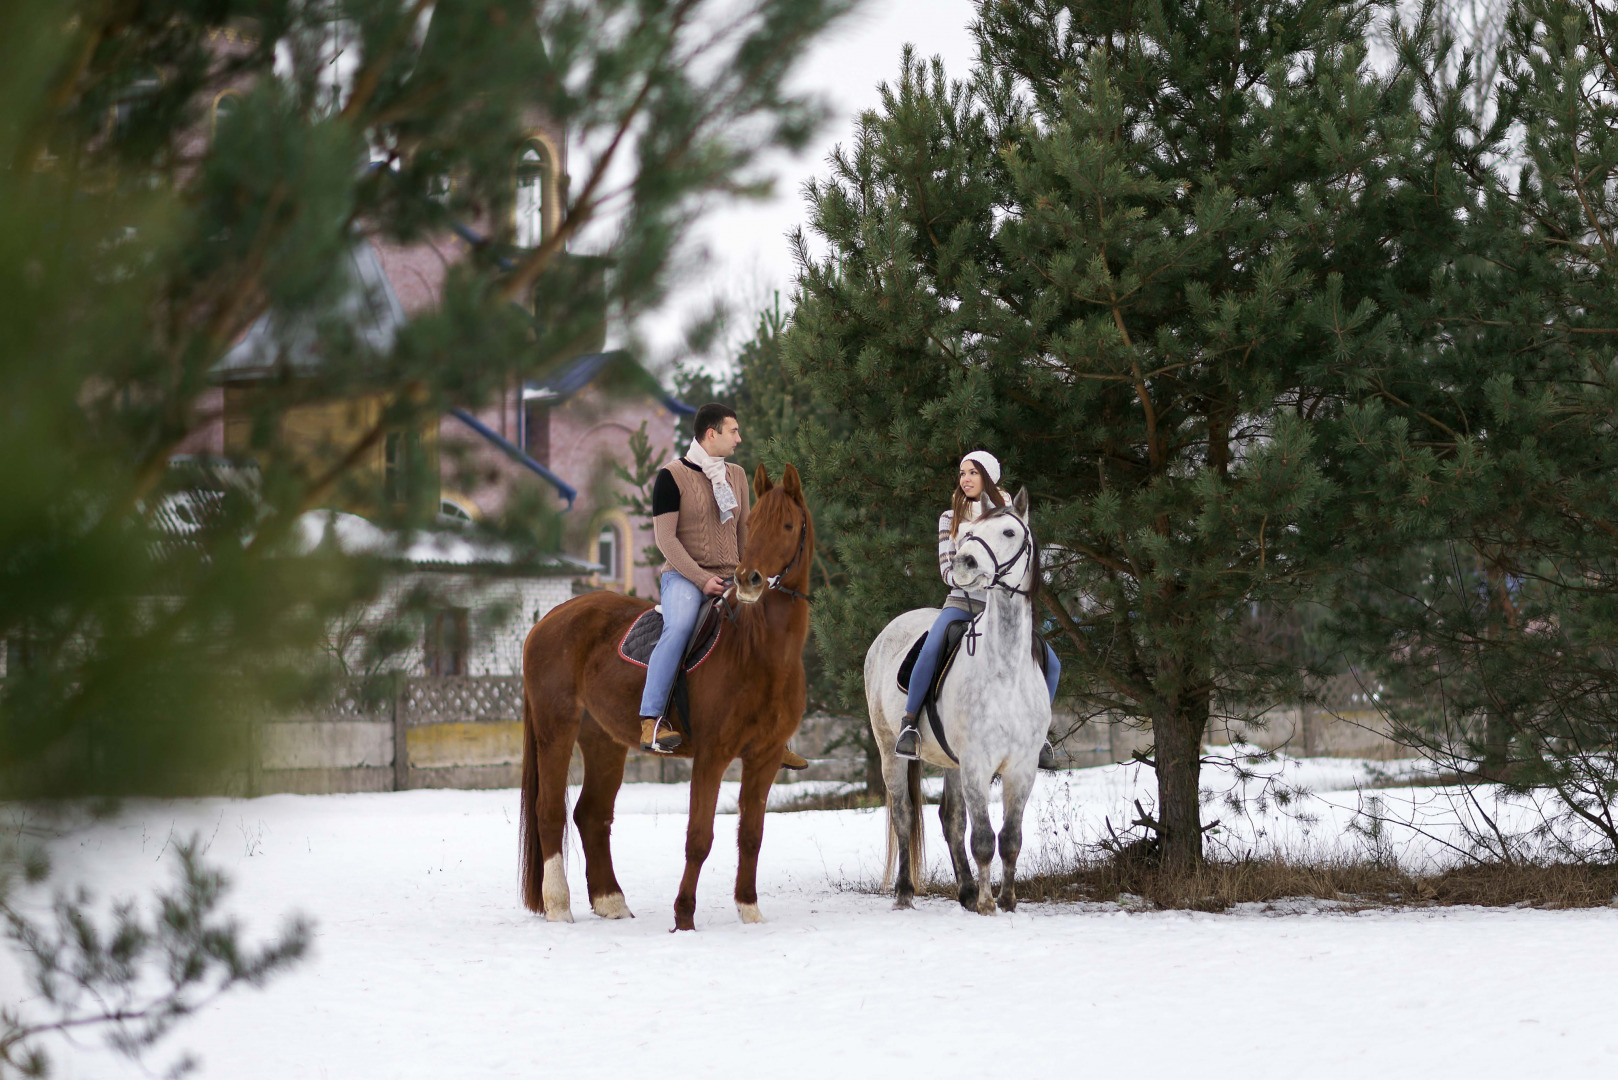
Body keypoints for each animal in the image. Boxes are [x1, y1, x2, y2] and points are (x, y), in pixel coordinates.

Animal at [520, 463, 809, 932]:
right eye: (752, 524)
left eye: (787, 525)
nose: (749, 580)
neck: (758, 650)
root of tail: (549, 619)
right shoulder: (711, 756)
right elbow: (699, 837)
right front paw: (684, 916)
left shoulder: (764, 757)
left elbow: (751, 835)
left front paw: (749, 909)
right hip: (555, 729)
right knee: (550, 812)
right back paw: (559, 905)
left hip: (603, 741)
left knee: (591, 814)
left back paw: (611, 901)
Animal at [860, 488, 1048, 913]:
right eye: (970, 533)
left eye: (1009, 531)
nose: (965, 562)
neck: (1005, 672)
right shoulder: (977, 764)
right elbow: (984, 840)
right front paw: (987, 904)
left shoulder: (1022, 768)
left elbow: (1010, 840)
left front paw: (1007, 901)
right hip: (890, 752)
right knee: (904, 816)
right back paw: (904, 893)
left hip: (952, 762)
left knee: (950, 818)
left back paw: (963, 891)